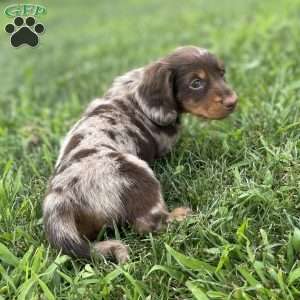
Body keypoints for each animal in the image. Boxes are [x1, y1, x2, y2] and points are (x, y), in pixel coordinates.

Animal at [43, 45, 238, 262]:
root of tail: (59, 201)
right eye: (196, 83)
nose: (233, 101)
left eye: (222, 73)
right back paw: (182, 215)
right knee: (149, 223)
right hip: (136, 171)